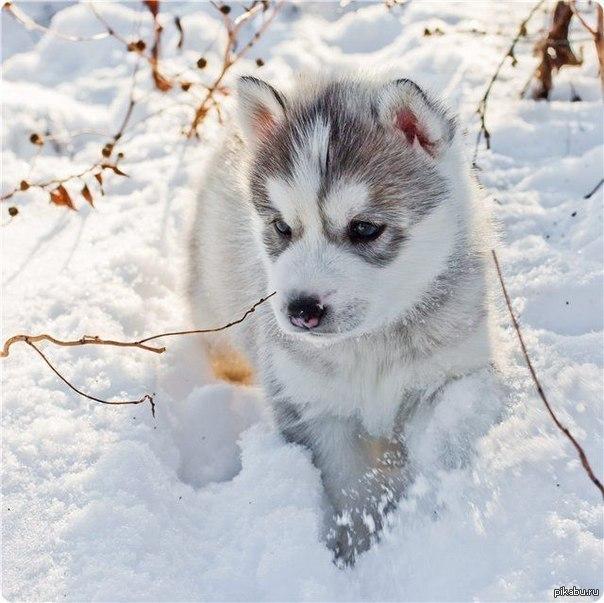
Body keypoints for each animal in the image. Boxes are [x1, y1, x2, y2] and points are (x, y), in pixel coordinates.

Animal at [188, 73, 497, 565]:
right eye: (282, 228)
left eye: (364, 228)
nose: (300, 311)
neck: (372, 342)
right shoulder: (313, 406)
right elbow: (349, 488)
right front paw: (358, 547)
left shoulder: (454, 372)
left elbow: (447, 438)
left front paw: (429, 514)